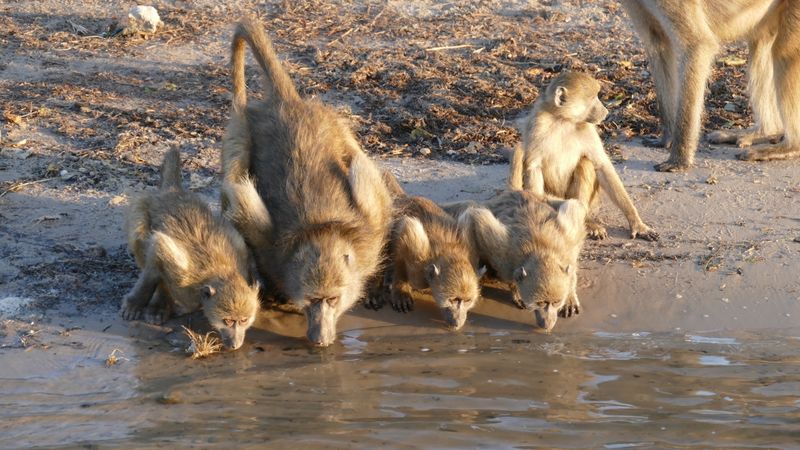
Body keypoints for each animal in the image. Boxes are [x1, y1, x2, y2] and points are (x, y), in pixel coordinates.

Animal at [121, 149, 260, 351]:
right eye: (227, 321)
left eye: (243, 320)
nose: (235, 344)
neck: (220, 272)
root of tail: (172, 191)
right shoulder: (182, 273)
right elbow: (157, 250)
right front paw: (136, 302)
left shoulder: (240, 250)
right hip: (142, 206)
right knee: (141, 239)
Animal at [219, 18, 392, 347]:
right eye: (312, 300)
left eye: (332, 299)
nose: (320, 339)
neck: (320, 229)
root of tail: (288, 105)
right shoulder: (264, 235)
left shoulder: (371, 225)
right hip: (243, 131)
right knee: (235, 168)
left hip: (334, 125)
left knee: (357, 160)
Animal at [449, 190, 586, 332]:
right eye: (540, 303)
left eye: (556, 302)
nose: (547, 324)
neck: (542, 249)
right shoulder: (500, 245)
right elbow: (475, 217)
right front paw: (515, 289)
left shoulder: (569, 237)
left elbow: (575, 209)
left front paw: (570, 295)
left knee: (572, 204)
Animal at [509, 72, 658, 241]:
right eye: (593, 98)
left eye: (597, 96)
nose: (605, 112)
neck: (563, 120)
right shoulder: (537, 124)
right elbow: (534, 167)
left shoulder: (587, 128)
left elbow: (601, 165)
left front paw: (637, 224)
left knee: (585, 164)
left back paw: (585, 220)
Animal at [617, 0, 800, 171]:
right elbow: (658, 44)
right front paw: (667, 139)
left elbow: (697, 45)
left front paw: (679, 159)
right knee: (760, 44)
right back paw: (765, 131)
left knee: (784, 53)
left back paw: (791, 146)